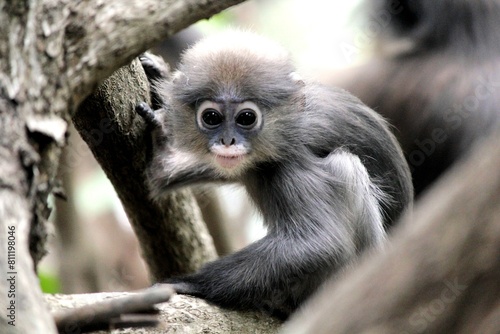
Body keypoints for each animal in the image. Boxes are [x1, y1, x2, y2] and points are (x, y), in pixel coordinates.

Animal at [135, 30, 412, 318]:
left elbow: (321, 243)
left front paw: (192, 283)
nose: (227, 141)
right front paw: (158, 82)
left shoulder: (293, 160)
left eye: (247, 117)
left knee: (344, 164)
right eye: (211, 117)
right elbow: (161, 175)